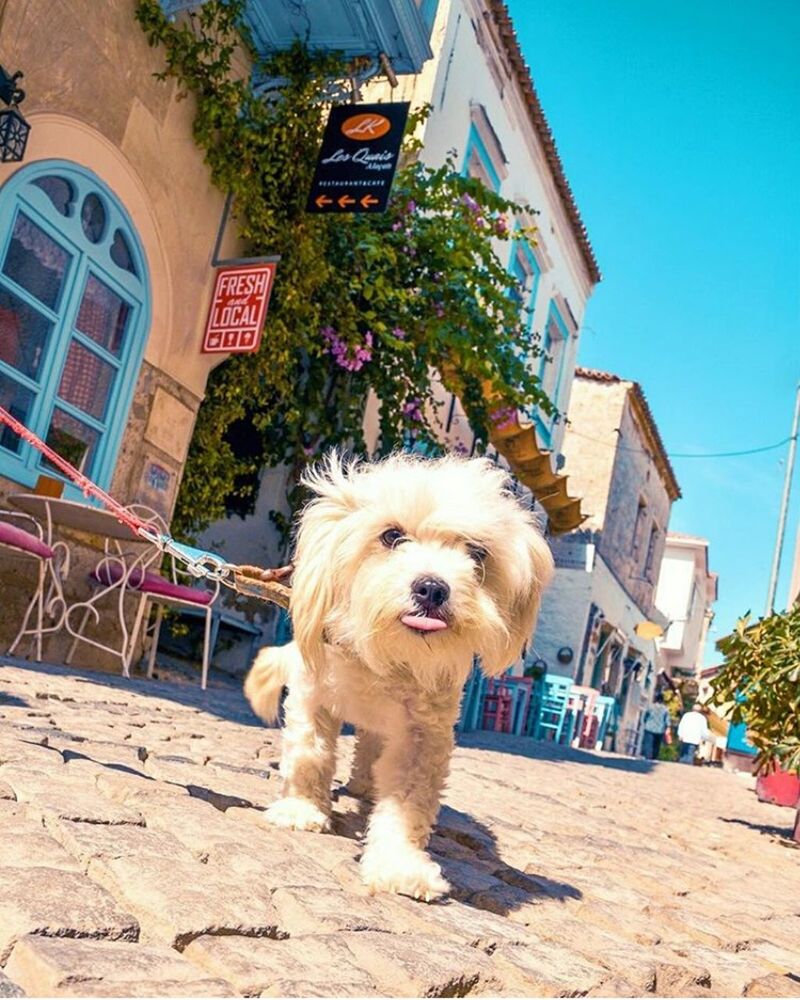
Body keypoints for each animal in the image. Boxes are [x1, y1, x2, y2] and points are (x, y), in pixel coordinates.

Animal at [244, 450, 552, 904]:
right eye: (391, 536)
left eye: (477, 553)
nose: (432, 588)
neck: (385, 658)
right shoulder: (312, 695)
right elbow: (310, 754)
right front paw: (302, 808)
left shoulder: (422, 734)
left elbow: (407, 803)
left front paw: (399, 863)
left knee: (371, 750)